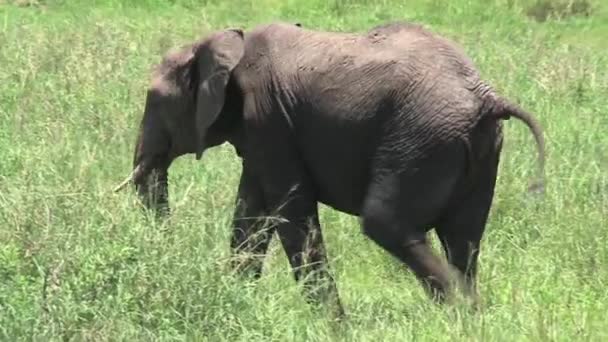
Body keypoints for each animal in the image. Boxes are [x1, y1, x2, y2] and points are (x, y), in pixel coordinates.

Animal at [114, 20, 548, 316]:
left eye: (155, 99)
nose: (165, 245)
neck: (226, 43)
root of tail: (488, 97)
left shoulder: (268, 118)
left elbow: (290, 212)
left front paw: (334, 326)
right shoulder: (261, 133)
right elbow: (251, 215)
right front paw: (234, 299)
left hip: (423, 136)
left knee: (387, 223)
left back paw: (457, 314)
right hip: (476, 147)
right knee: (464, 239)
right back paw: (472, 319)